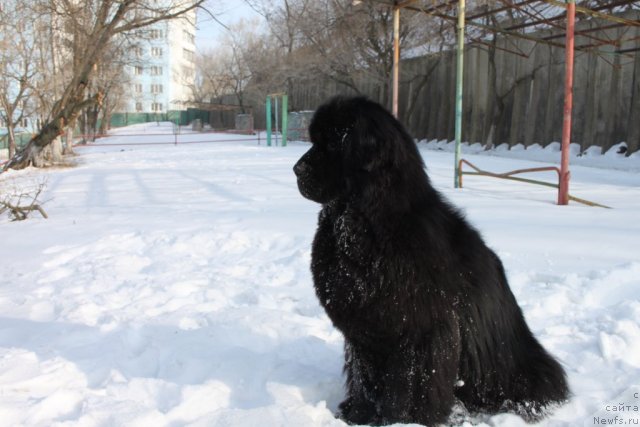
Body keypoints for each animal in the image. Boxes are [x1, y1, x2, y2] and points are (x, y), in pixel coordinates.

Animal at [296, 97, 568, 427]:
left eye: (332, 143)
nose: (296, 169)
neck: (369, 223)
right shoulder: (362, 333)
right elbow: (363, 378)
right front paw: (358, 414)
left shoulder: (421, 333)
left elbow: (409, 386)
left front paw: (401, 420)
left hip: (522, 368)